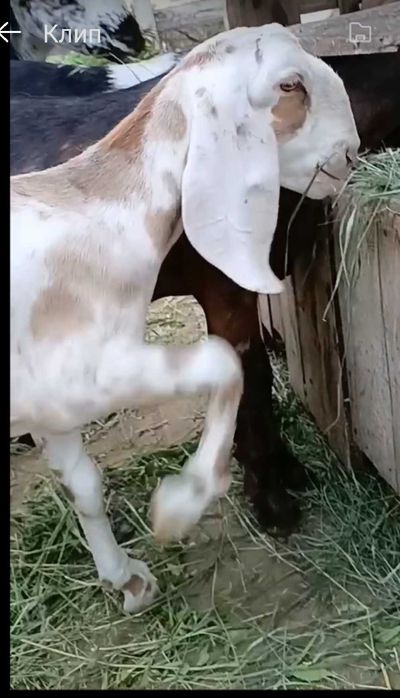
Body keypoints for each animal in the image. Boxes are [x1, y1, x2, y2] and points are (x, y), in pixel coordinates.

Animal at [11, 24, 359, 611]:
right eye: (289, 84)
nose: (351, 153)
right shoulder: (89, 369)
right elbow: (228, 365)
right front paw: (182, 504)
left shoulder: (52, 398)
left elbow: (83, 484)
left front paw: (127, 579)